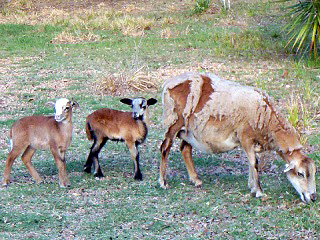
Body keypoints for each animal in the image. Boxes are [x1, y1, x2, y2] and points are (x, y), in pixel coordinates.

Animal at [160, 72, 318, 203]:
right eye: (300, 174)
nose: (313, 197)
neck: (268, 119)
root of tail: (168, 82)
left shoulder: (251, 142)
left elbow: (252, 162)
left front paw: (252, 186)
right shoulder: (245, 137)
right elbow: (254, 163)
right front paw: (258, 191)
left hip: (190, 131)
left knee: (185, 149)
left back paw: (195, 180)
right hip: (173, 121)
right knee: (165, 148)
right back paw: (163, 182)